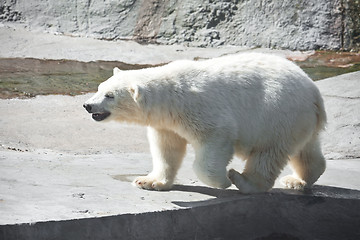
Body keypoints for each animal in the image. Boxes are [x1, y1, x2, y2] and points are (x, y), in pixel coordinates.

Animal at [83, 52, 326, 193]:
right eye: (99, 88)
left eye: (110, 96)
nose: (88, 105)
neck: (171, 97)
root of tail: (314, 92)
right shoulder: (166, 123)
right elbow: (166, 149)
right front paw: (149, 181)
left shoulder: (201, 109)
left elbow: (215, 140)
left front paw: (221, 181)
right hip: (297, 120)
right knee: (306, 150)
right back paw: (298, 180)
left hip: (277, 113)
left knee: (268, 154)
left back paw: (243, 180)